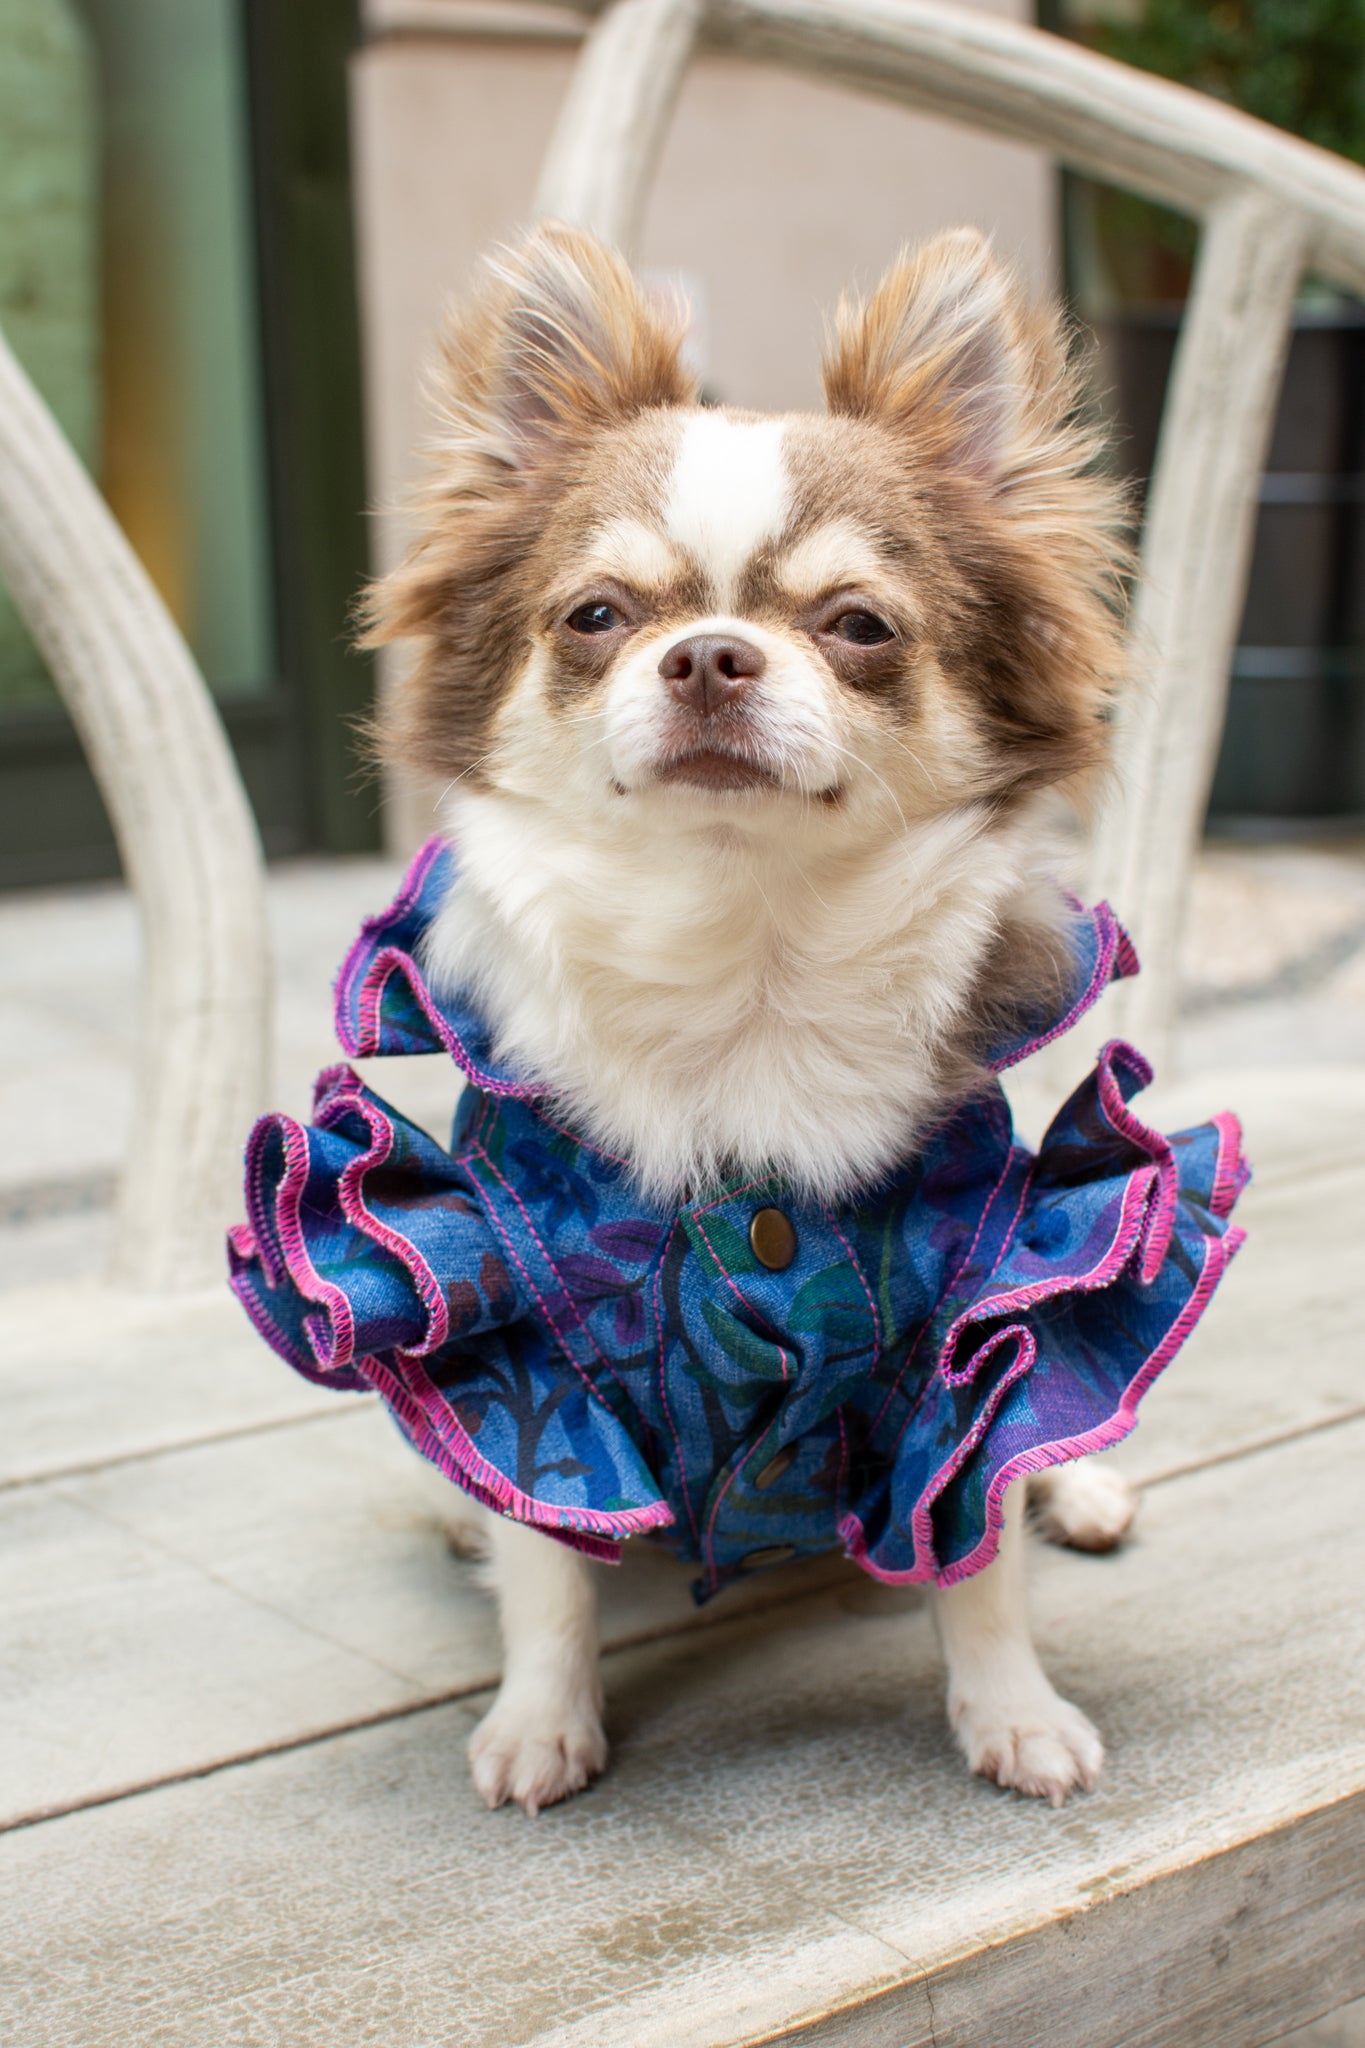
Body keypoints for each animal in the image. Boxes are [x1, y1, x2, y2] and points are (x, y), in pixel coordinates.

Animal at [368, 224, 1137, 1818]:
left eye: (859, 629)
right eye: (597, 616)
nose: (710, 653)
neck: (748, 964)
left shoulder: (966, 1327)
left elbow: (974, 1537)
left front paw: (1013, 1709)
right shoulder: (521, 1338)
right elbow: (549, 1554)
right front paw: (541, 1717)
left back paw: (1082, 1483)